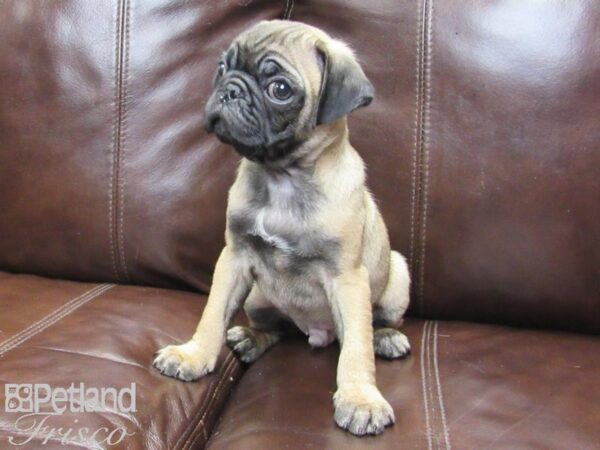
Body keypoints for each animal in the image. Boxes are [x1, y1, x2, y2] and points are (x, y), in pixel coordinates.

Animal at [152, 20, 410, 436]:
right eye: (222, 68)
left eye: (281, 90)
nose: (230, 89)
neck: (281, 177)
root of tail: (318, 334)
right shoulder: (234, 258)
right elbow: (213, 313)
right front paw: (193, 355)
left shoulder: (347, 279)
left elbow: (356, 348)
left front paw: (359, 399)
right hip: (257, 296)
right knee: (279, 329)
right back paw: (248, 339)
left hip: (397, 273)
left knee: (375, 324)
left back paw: (386, 338)